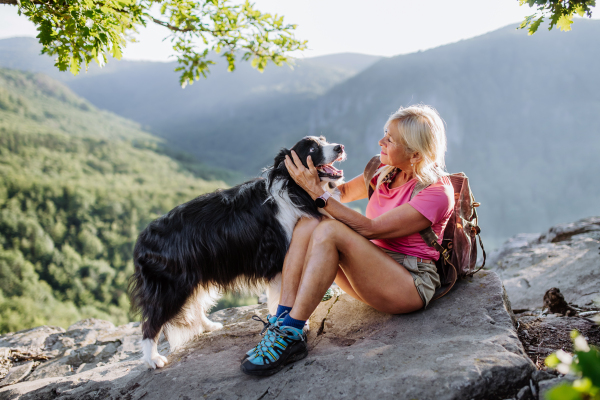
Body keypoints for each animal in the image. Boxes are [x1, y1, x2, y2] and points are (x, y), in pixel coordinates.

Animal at [130, 137, 346, 368]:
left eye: (324, 140)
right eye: (312, 148)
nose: (339, 147)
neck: (293, 188)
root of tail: (142, 240)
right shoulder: (279, 259)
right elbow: (283, 294)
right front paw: (294, 325)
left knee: (194, 303)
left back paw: (208, 326)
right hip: (170, 287)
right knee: (151, 322)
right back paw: (153, 359)